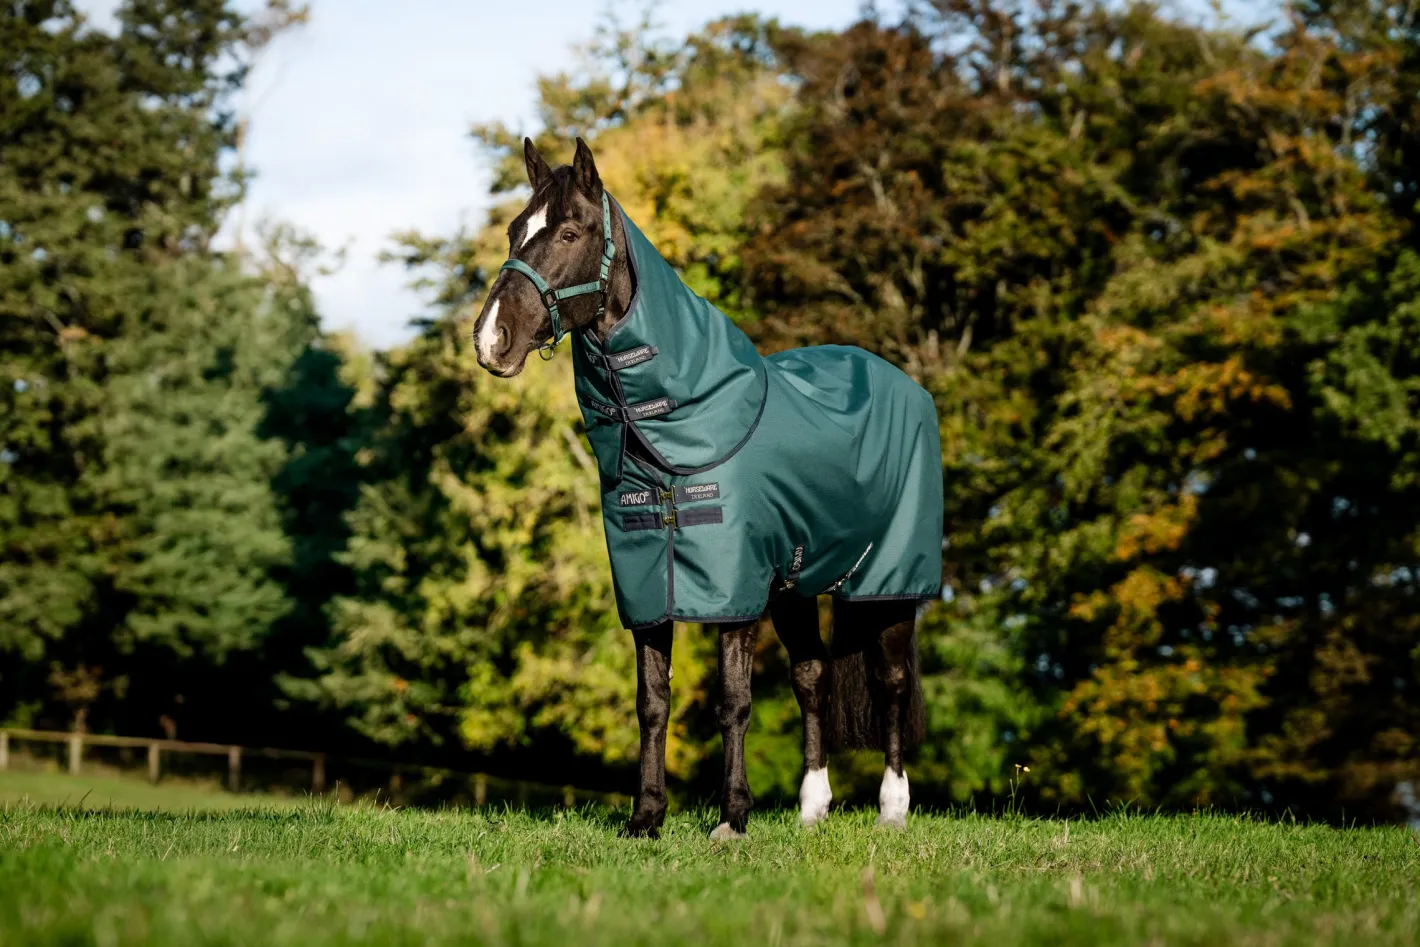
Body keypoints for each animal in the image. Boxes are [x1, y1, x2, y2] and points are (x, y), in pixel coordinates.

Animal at [472, 137, 943, 839]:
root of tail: (904, 384)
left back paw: (892, 809)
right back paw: (812, 809)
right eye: (512, 232)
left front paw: (732, 818)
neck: (682, 428)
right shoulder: (648, 590)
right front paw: (646, 817)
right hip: (797, 587)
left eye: (569, 232)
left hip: (888, 585)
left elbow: (734, 702)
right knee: (813, 677)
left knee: (889, 682)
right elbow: (652, 702)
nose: (489, 339)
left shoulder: (735, 594)